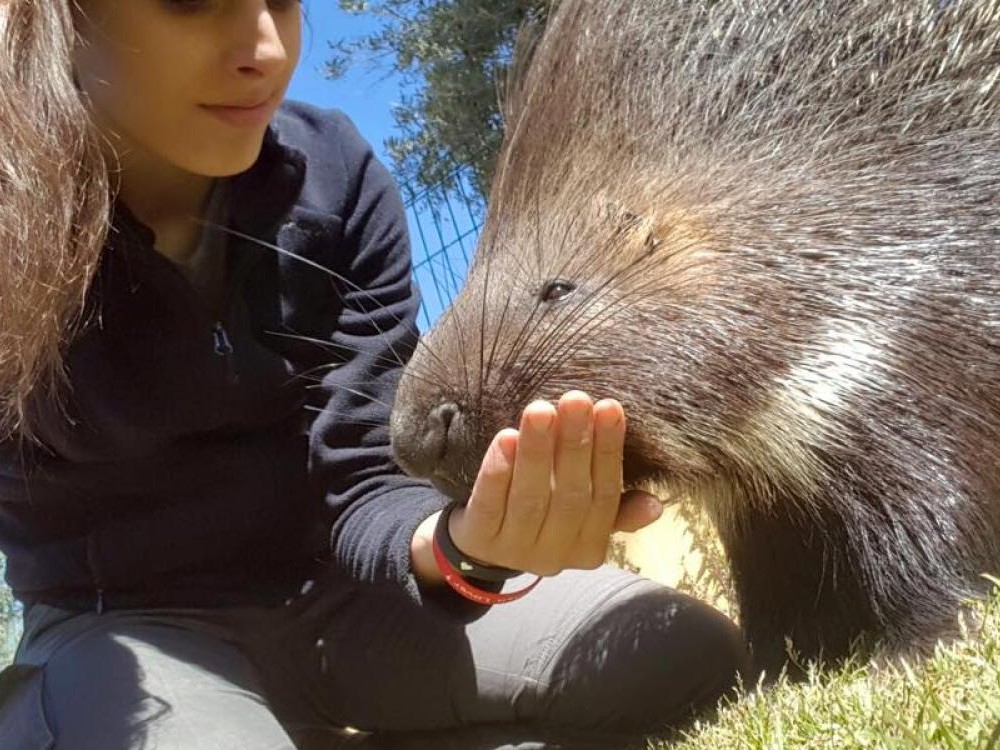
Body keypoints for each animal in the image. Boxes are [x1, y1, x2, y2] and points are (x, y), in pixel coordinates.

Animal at [388, 0, 1000, 675]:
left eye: (557, 290)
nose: (414, 437)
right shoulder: (765, 508)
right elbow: (777, 591)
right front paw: (768, 677)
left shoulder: (894, 375)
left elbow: (930, 527)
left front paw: (914, 651)